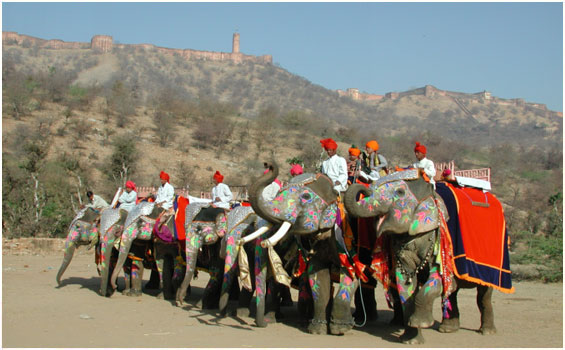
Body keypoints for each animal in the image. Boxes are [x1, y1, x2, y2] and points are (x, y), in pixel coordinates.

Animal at [249, 164, 360, 336]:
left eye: (306, 196)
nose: (269, 165)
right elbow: (317, 276)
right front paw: (316, 330)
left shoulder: (349, 239)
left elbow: (351, 273)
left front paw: (339, 329)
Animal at [342, 170, 512, 344]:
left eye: (400, 192)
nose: (365, 187)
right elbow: (404, 282)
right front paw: (411, 340)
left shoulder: (438, 237)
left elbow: (437, 278)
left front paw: (421, 323)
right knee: (453, 289)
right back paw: (448, 329)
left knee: (483, 294)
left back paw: (487, 331)